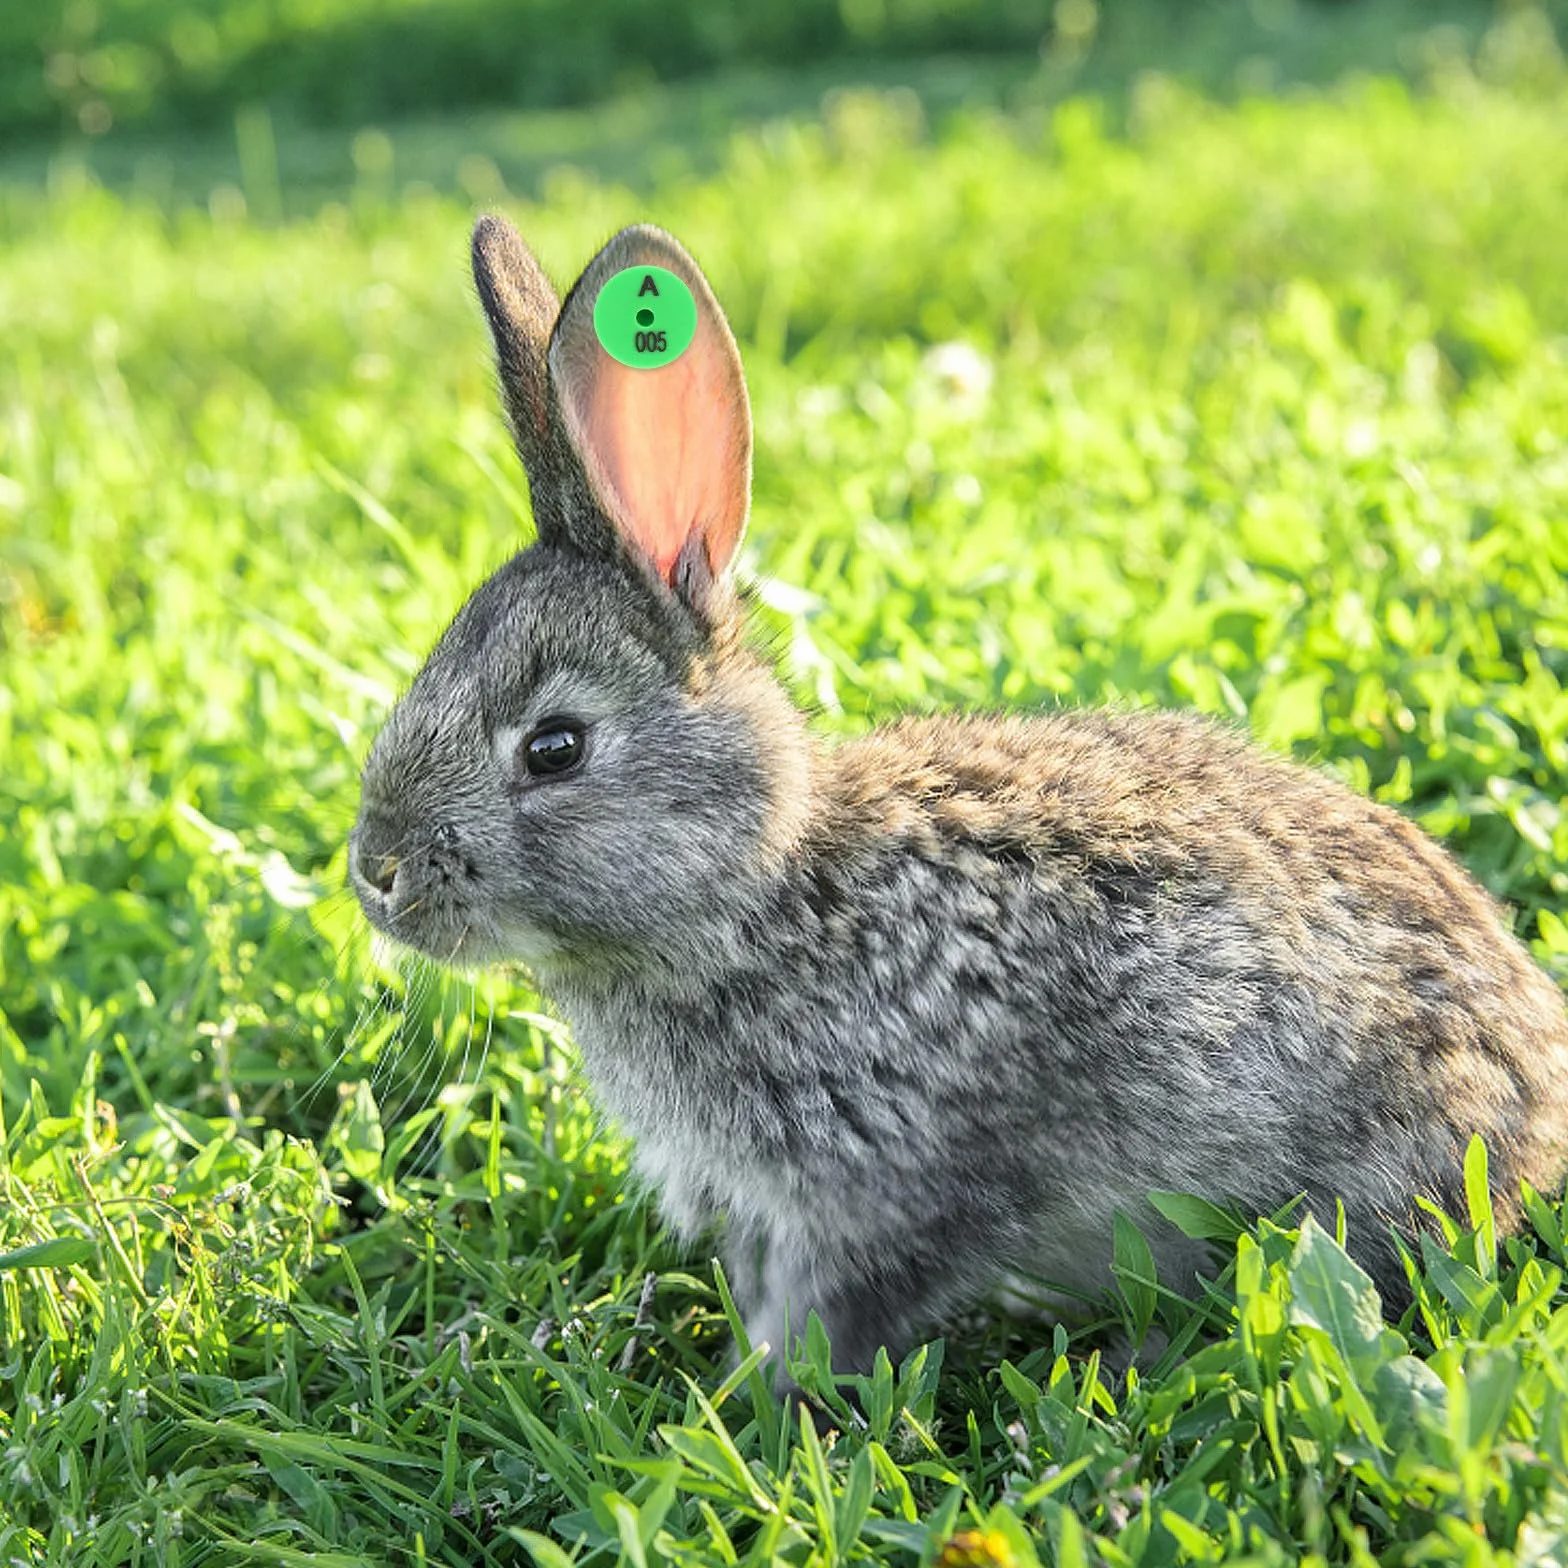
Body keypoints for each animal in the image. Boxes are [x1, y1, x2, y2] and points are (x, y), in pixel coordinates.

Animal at [350, 213, 1568, 1383]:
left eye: (554, 747)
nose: (376, 873)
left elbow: (832, 1318)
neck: (760, 895)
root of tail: (1537, 1091)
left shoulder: (886, 1188)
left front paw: (753, 1403)